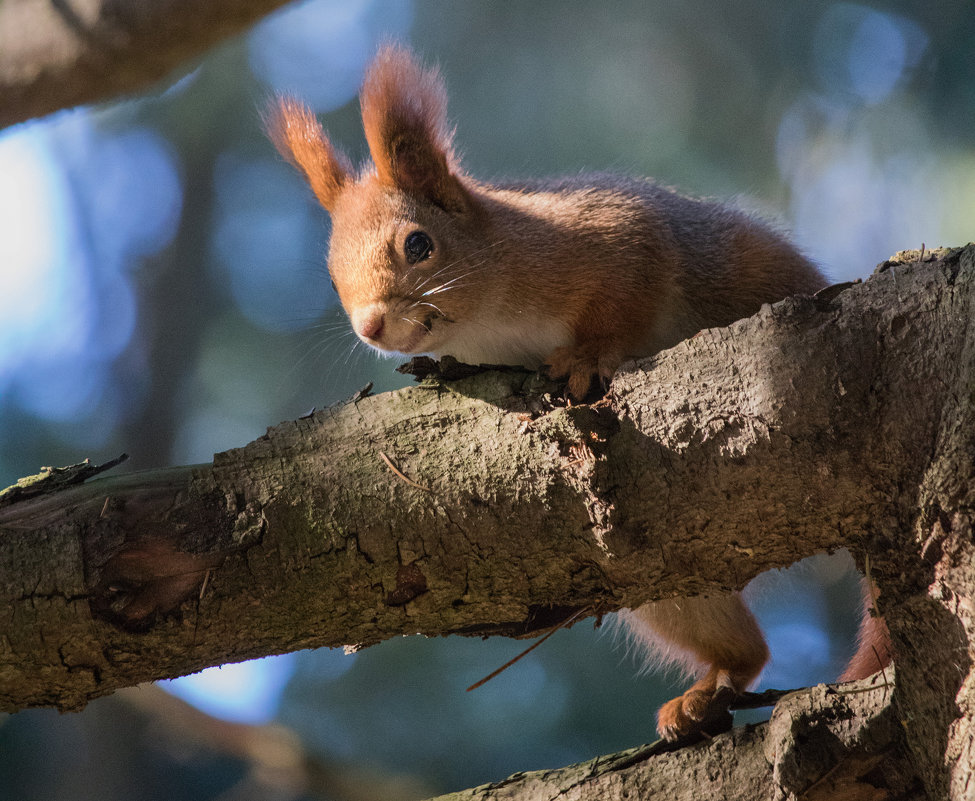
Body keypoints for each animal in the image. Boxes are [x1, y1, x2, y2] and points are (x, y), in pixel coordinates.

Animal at [266, 47, 892, 740]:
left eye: (419, 244)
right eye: (331, 275)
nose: (371, 326)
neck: (489, 316)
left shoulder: (611, 238)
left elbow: (625, 300)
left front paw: (585, 358)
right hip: (671, 583)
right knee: (741, 649)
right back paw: (705, 694)